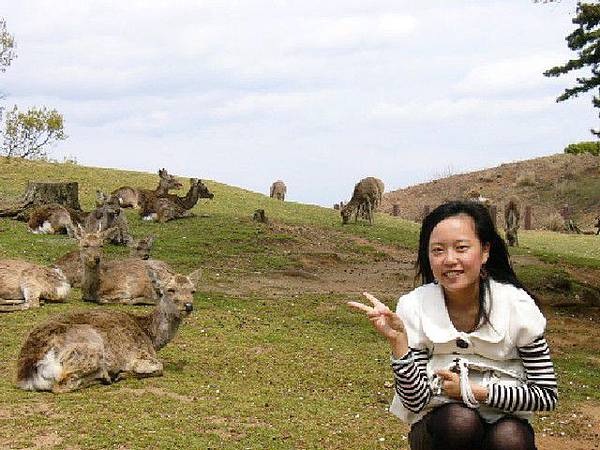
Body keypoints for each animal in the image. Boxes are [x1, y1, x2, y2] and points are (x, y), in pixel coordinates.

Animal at [16, 268, 195, 392]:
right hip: (90, 348)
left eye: (193, 290)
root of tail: (28, 374)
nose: (188, 306)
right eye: (170, 289)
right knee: (62, 385)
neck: (149, 336)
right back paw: (106, 377)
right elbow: (159, 367)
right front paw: (122, 374)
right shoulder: (139, 355)